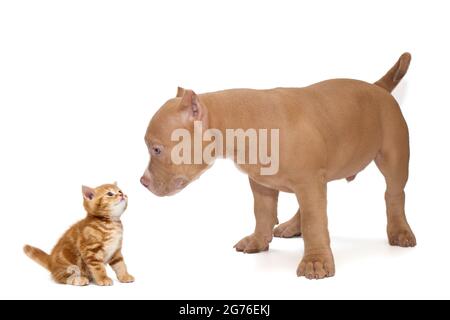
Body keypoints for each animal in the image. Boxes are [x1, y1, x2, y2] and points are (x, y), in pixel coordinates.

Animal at [142, 53, 416, 278]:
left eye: (156, 149)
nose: (142, 182)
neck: (242, 123)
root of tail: (378, 87)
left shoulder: (308, 181)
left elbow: (315, 222)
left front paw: (315, 261)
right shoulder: (262, 184)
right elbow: (263, 214)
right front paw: (257, 241)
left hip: (393, 157)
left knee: (394, 194)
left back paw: (400, 231)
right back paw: (293, 226)